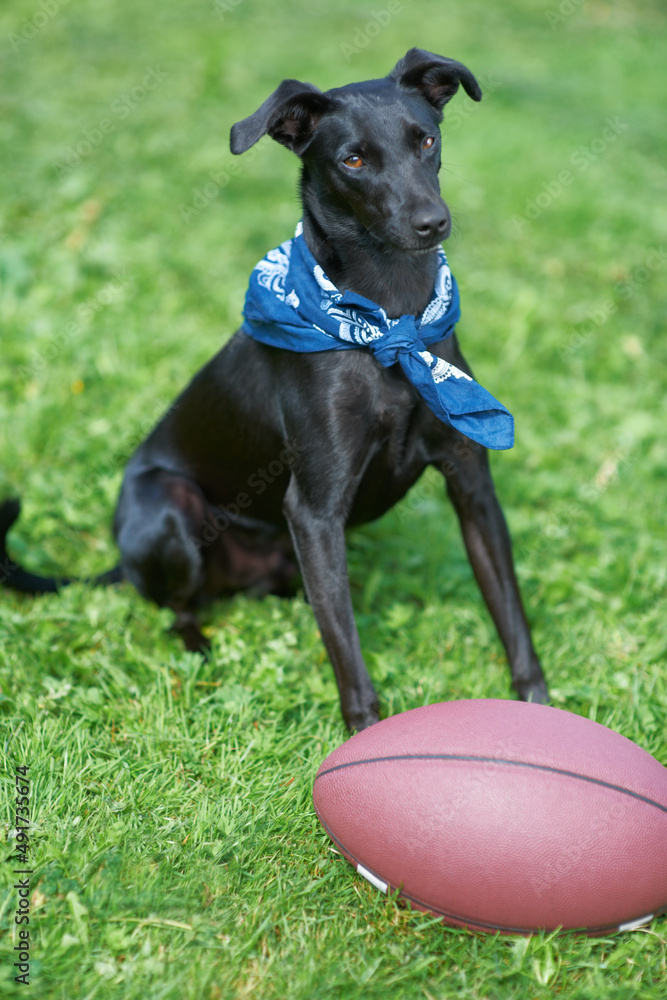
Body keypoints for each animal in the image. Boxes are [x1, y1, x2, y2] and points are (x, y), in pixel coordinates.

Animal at [1, 48, 548, 728]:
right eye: (353, 160)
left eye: (426, 140)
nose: (432, 223)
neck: (388, 322)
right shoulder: (314, 510)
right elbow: (349, 655)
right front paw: (363, 733)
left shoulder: (472, 488)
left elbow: (511, 617)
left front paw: (541, 705)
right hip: (169, 507)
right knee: (182, 608)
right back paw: (199, 651)